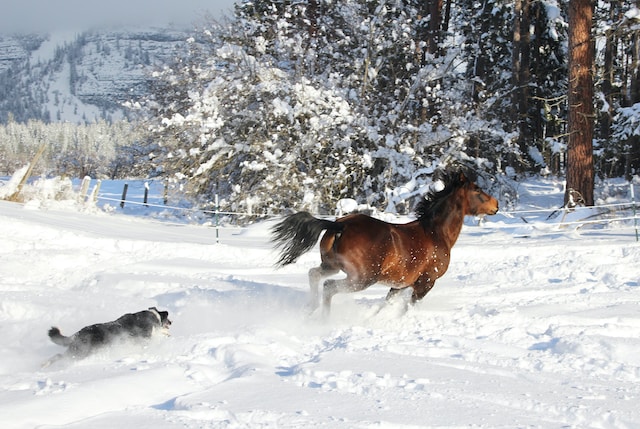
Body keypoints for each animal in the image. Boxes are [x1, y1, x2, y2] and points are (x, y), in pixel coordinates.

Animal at [43, 306, 171, 366]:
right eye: (167, 319)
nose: (171, 322)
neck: (152, 318)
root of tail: (78, 334)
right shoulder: (143, 340)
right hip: (81, 352)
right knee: (60, 356)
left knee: (58, 355)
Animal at [272, 169, 500, 312]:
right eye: (477, 189)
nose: (496, 205)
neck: (435, 233)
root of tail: (340, 226)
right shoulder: (425, 283)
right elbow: (407, 309)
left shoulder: (399, 286)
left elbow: (384, 307)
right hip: (362, 278)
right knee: (328, 287)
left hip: (333, 266)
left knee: (314, 275)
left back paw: (310, 309)